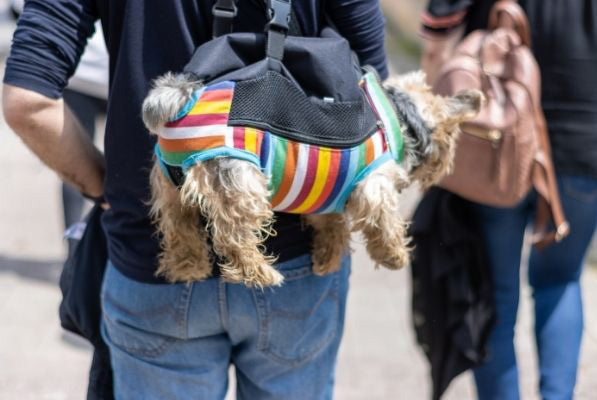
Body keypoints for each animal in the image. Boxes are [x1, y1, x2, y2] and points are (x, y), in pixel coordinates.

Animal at [142, 69, 482, 288]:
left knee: (179, 229)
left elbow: (333, 227)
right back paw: (259, 273)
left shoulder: (324, 200)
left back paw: (187, 266)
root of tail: (183, 99)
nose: (445, 170)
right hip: (241, 184)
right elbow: (385, 223)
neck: (397, 118)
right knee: (233, 237)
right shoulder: (374, 187)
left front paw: (327, 259)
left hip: (170, 186)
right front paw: (395, 255)